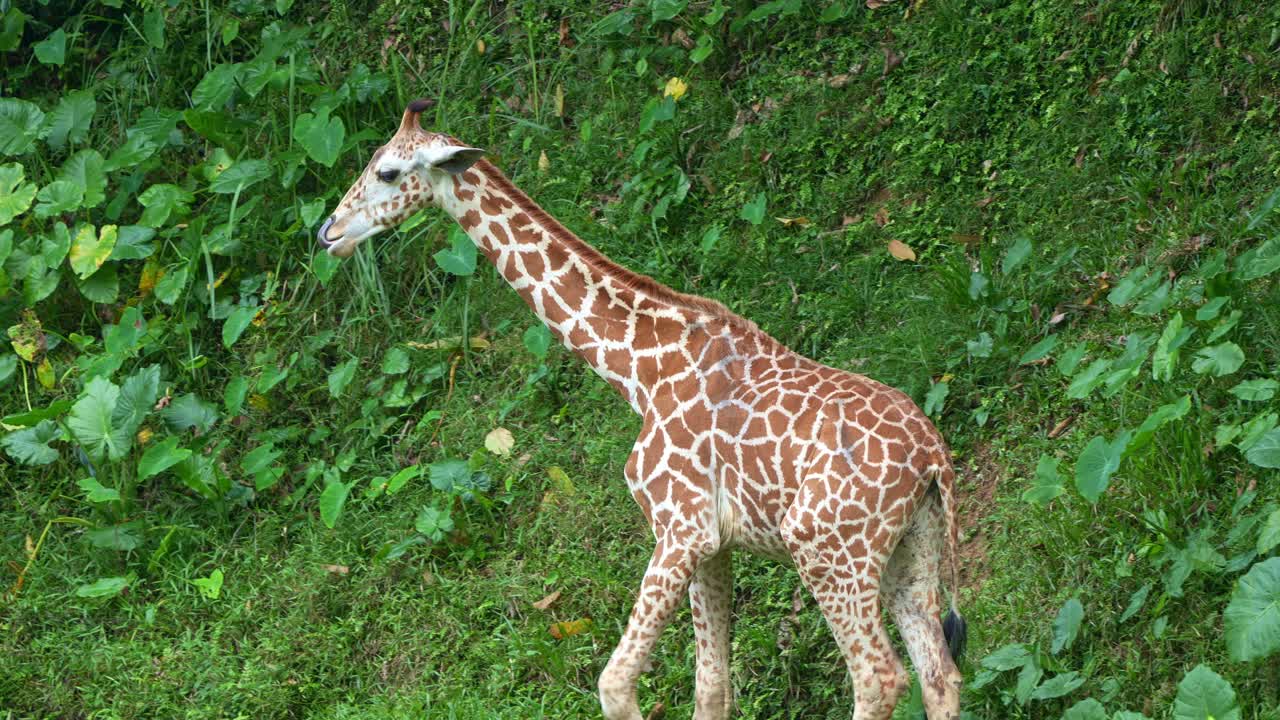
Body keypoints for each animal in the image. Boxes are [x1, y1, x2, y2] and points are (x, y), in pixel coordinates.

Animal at [319, 99, 966, 720]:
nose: (329, 232)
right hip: (911, 550)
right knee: (940, 674)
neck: (639, 373)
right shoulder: (714, 543)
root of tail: (933, 457)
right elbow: (712, 689)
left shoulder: (680, 527)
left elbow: (614, 685)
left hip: (827, 548)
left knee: (880, 679)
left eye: (388, 171)